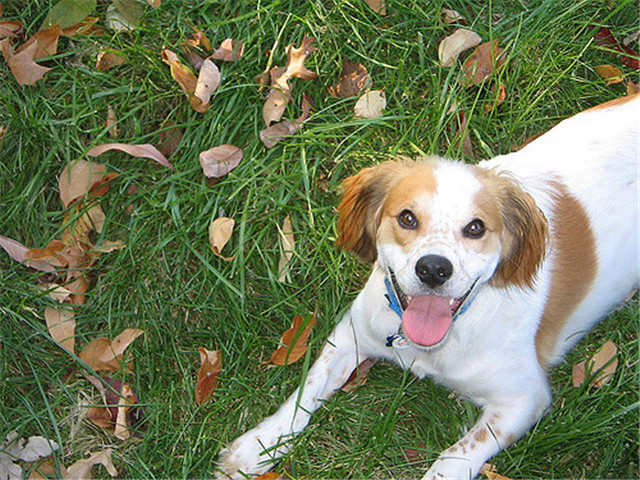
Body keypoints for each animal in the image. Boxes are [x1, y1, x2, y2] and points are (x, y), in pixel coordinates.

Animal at [216, 94, 639, 479]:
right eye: (407, 218)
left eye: (476, 228)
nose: (434, 269)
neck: (432, 344)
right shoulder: (352, 332)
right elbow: (307, 387)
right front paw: (257, 446)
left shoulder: (523, 399)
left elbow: (454, 457)